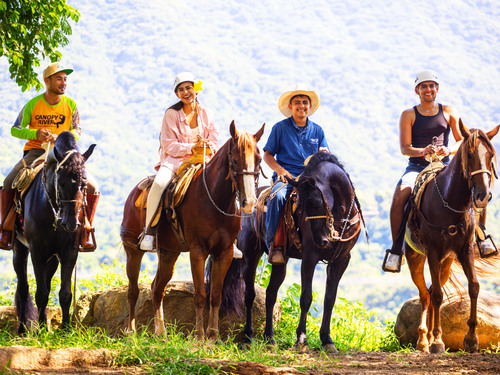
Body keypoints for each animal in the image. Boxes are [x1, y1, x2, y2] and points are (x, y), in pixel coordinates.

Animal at [13, 133, 95, 334]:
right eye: (62, 183)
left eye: (84, 184)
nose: (71, 223)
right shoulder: (36, 251)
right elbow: (40, 293)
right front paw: (40, 330)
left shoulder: (69, 252)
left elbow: (64, 293)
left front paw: (65, 329)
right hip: (20, 248)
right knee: (23, 288)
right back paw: (23, 328)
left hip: (52, 258)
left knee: (46, 283)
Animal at [120, 122, 266, 340]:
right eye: (234, 160)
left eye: (258, 159)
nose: (249, 202)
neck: (215, 200)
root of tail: (133, 194)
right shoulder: (198, 250)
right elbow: (200, 295)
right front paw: (199, 337)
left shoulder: (224, 252)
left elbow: (215, 295)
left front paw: (213, 336)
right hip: (132, 249)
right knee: (133, 290)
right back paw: (131, 332)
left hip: (169, 253)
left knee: (157, 289)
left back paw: (161, 333)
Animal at [232, 152, 366, 352]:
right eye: (300, 205)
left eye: (316, 202)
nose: (322, 240)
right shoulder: (310, 257)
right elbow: (306, 297)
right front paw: (301, 339)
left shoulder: (341, 260)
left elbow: (329, 299)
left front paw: (327, 340)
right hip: (250, 254)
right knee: (249, 295)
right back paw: (248, 336)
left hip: (281, 261)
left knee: (270, 294)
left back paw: (269, 337)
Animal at [408, 121, 498, 356]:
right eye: (470, 154)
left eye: (491, 155)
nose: (483, 196)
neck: (450, 201)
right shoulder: (432, 251)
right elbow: (438, 296)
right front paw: (438, 341)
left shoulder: (465, 250)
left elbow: (474, 286)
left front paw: (472, 339)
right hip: (416, 258)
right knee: (425, 294)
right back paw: (424, 339)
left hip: (446, 263)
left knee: (430, 291)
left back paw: (429, 336)